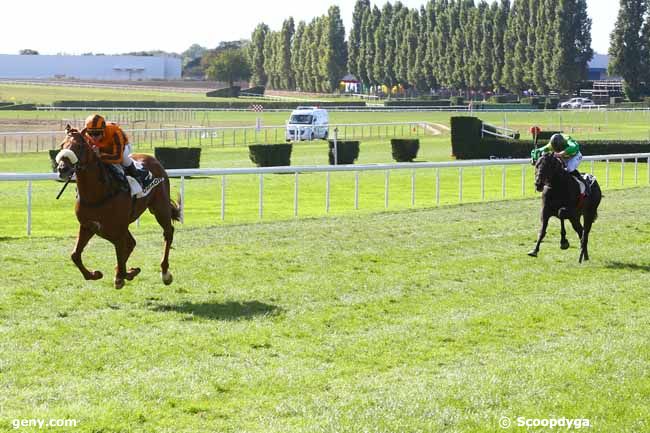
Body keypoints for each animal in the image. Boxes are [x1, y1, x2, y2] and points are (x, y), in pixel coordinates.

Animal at [53, 125, 178, 286]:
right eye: (62, 145)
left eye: (79, 146)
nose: (62, 169)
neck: (97, 194)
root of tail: (153, 159)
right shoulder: (89, 225)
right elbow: (75, 255)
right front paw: (95, 274)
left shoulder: (116, 228)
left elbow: (120, 250)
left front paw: (122, 275)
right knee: (132, 242)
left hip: (160, 207)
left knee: (168, 233)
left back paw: (165, 273)